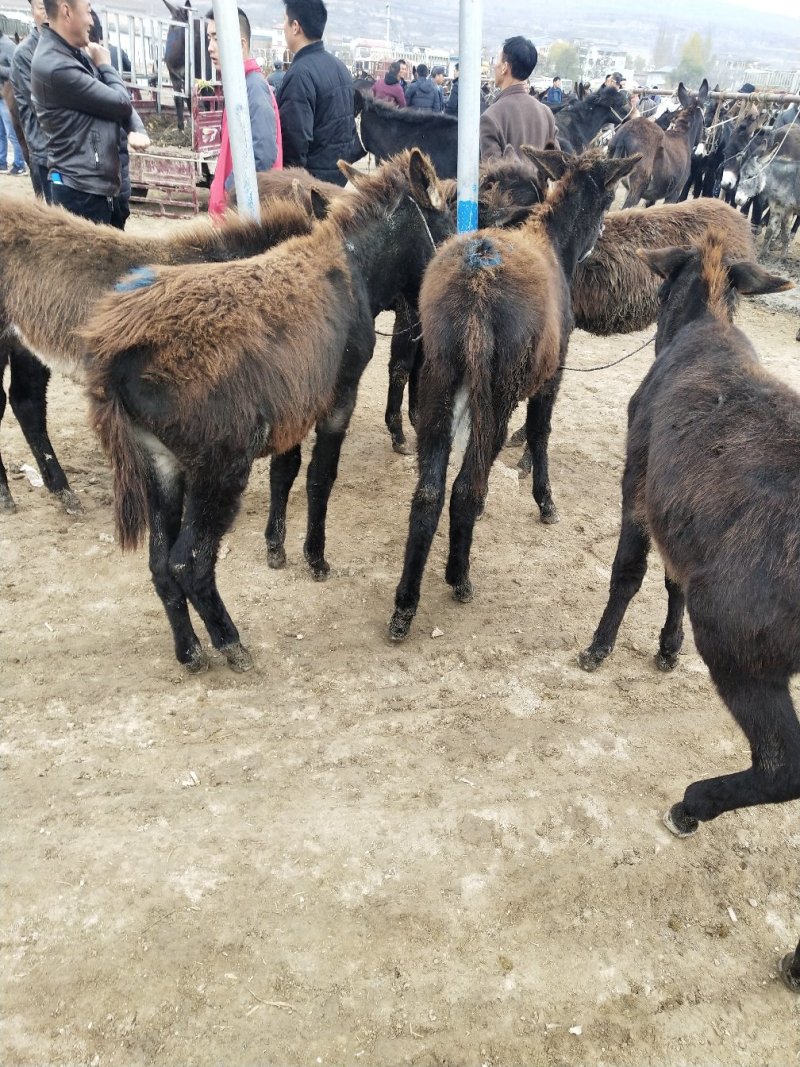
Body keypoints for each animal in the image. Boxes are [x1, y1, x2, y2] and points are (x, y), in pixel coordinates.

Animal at [82, 151, 454, 672]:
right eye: (447, 223)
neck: (352, 266)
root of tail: (113, 358)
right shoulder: (338, 398)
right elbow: (320, 477)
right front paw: (314, 558)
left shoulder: (294, 406)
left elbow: (286, 471)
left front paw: (276, 548)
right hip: (219, 468)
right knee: (187, 562)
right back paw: (230, 643)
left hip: (162, 465)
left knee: (158, 564)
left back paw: (190, 651)